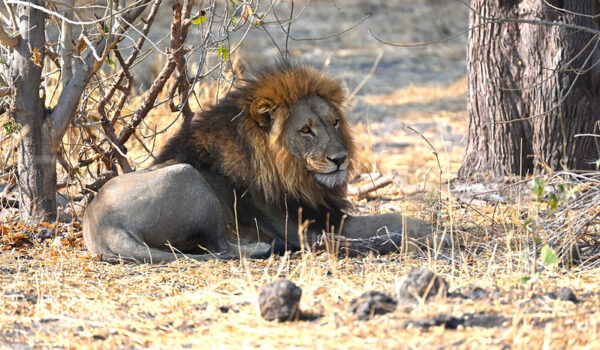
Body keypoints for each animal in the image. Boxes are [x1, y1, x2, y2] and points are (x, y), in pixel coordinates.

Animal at [83, 61, 440, 262]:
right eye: (306, 130)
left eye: (334, 122)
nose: (340, 160)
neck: (295, 173)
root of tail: (105, 225)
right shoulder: (306, 222)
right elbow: (394, 218)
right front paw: (435, 232)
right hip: (188, 178)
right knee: (219, 248)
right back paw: (272, 247)